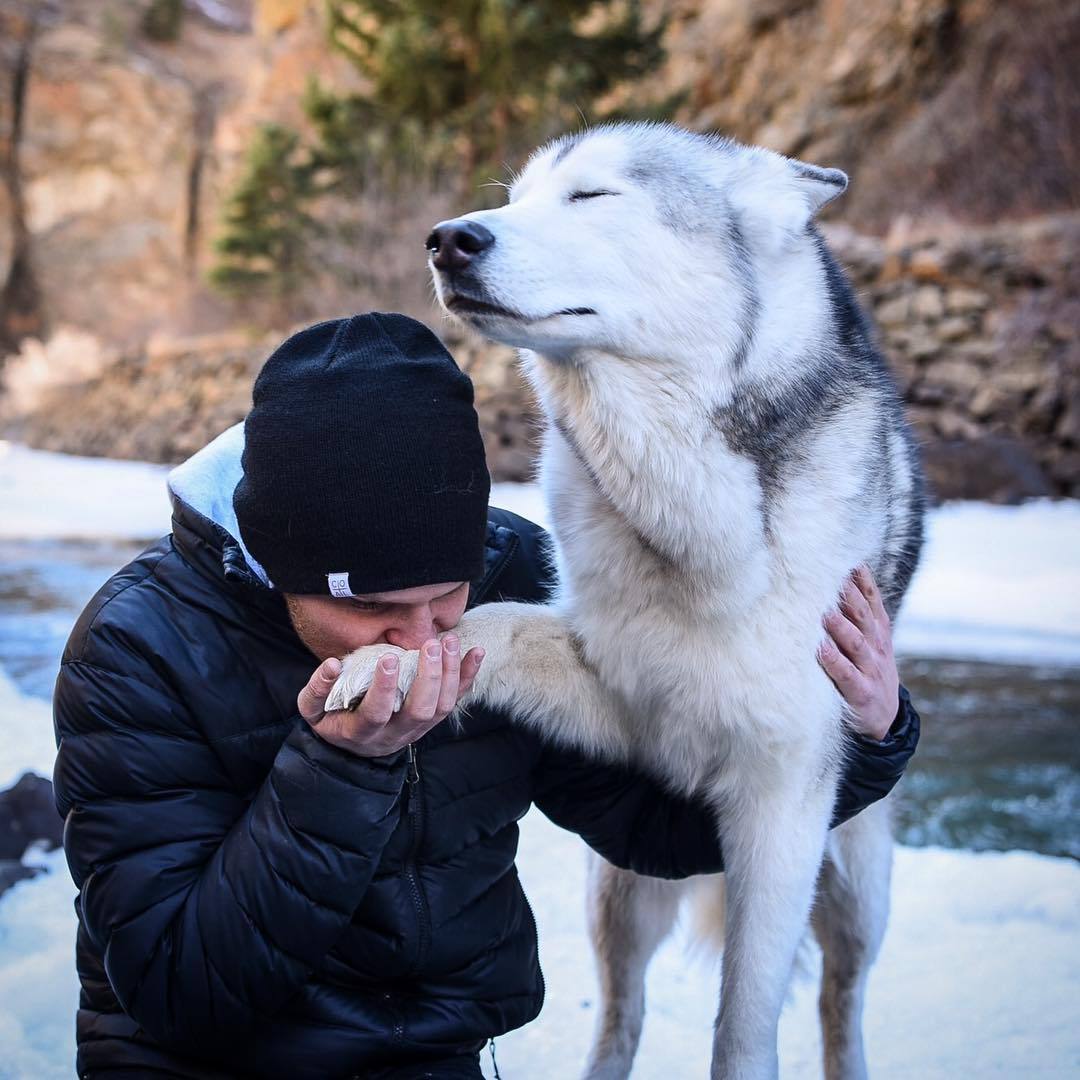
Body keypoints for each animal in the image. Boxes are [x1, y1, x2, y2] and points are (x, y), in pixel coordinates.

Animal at [326, 124, 920, 1080]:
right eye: (516, 199)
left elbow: (743, 1036)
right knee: (621, 1015)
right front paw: (386, 659)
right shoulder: (622, 696)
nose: (449, 239)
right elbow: (479, 624)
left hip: (853, 891)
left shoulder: (782, 810)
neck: (690, 530)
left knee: (841, 1004)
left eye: (593, 197)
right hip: (618, 896)